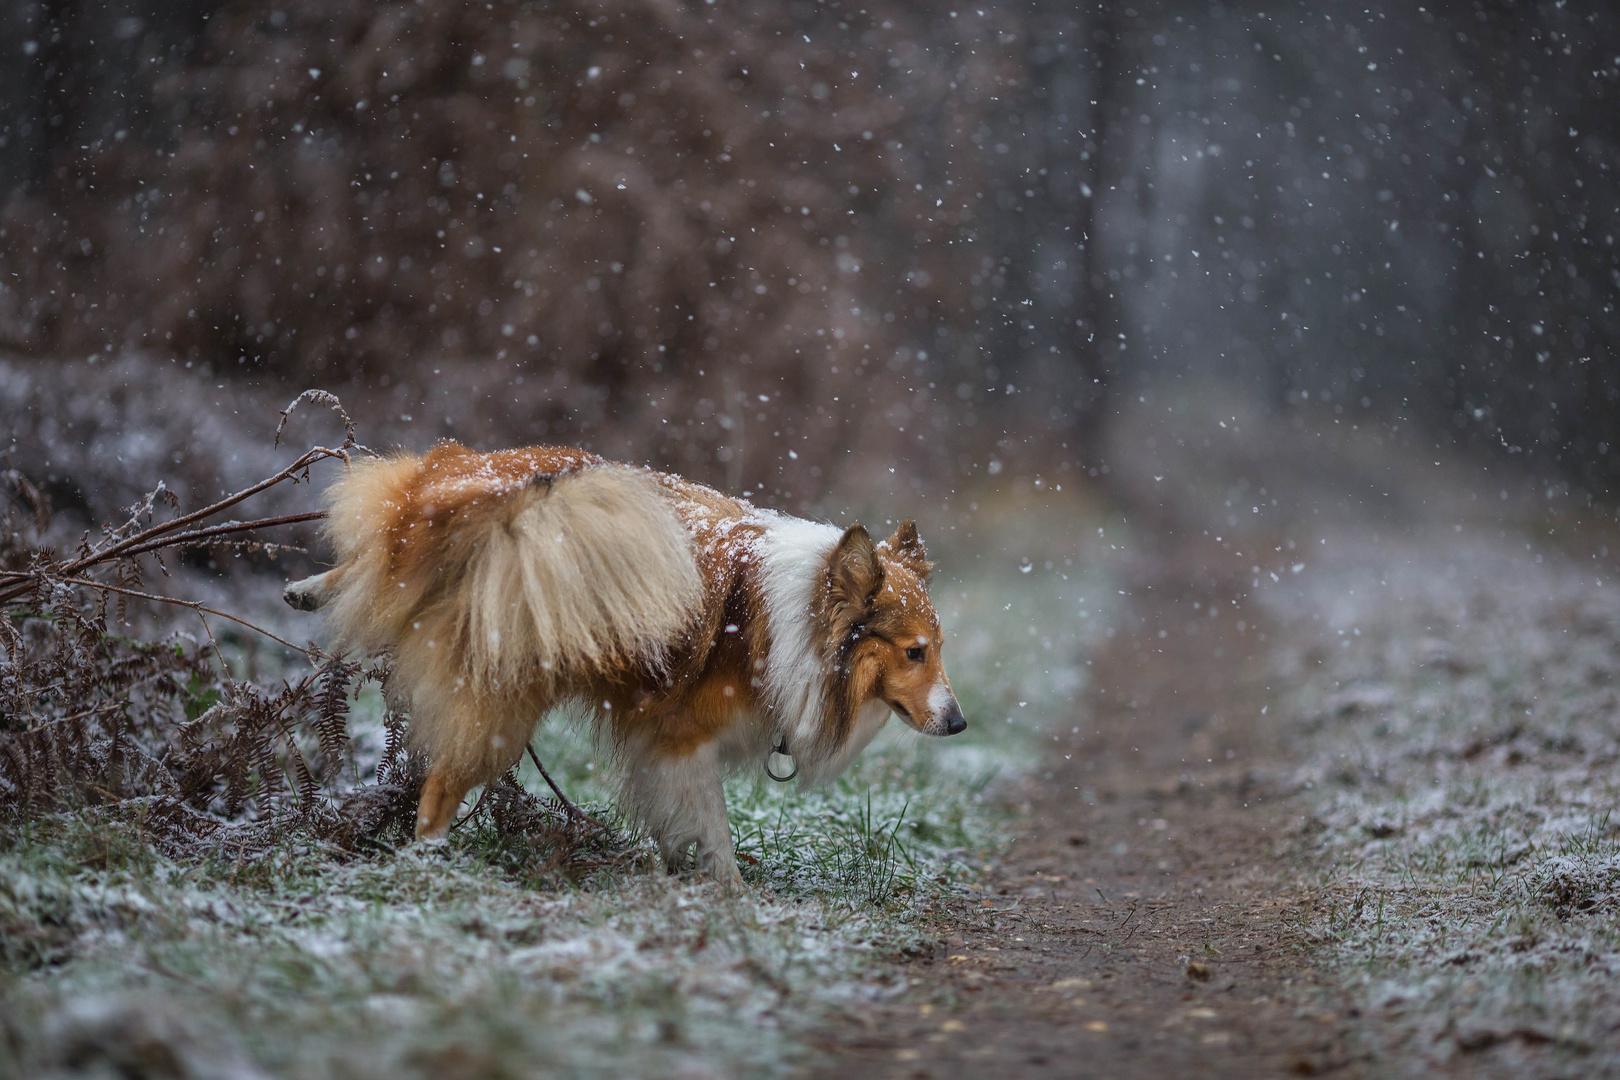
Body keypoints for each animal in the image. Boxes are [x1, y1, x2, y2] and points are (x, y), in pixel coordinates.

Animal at [281, 440, 959, 887]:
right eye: (914, 651)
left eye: (940, 648)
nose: (959, 723)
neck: (799, 619)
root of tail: (509, 512)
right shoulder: (683, 740)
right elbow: (714, 827)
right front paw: (733, 898)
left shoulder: (656, 744)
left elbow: (675, 822)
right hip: (501, 713)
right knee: (439, 789)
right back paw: (430, 870)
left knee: (383, 544)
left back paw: (311, 589)